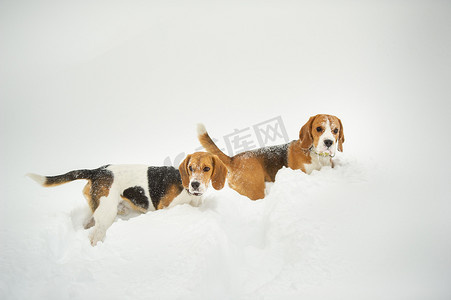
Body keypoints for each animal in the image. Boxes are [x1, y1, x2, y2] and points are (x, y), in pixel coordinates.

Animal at [26, 151, 228, 245]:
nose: (194, 184)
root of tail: (97, 170)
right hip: (106, 214)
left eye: (206, 169)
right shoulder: (167, 209)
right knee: (94, 237)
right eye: (190, 168)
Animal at [199, 113, 346, 200]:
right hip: (255, 190)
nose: (328, 142)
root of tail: (233, 159)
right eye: (318, 129)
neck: (316, 155)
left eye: (336, 130)